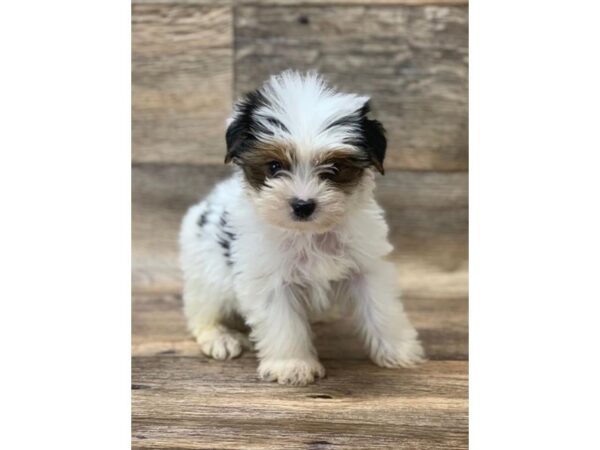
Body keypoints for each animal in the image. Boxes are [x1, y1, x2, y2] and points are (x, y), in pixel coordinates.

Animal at [180, 71, 424, 386]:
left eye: (334, 170)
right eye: (274, 166)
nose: (303, 205)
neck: (309, 233)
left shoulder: (367, 265)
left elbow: (381, 307)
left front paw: (399, 349)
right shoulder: (269, 278)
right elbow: (283, 322)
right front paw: (292, 365)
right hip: (206, 269)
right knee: (203, 309)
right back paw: (219, 336)